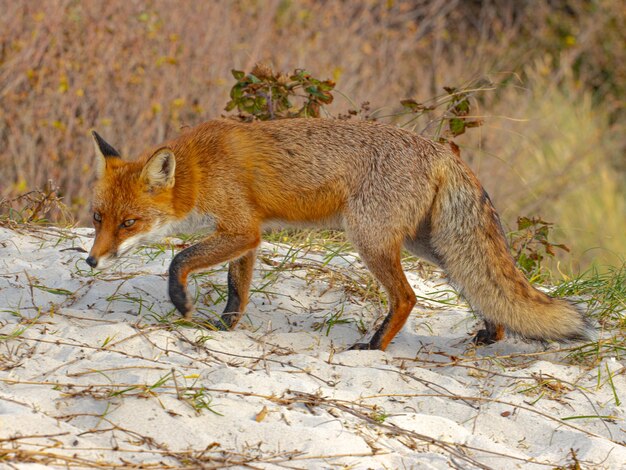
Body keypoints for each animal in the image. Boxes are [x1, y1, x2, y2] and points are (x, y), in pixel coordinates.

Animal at [85, 119, 592, 350]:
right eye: (97, 217)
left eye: (129, 223)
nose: (91, 261)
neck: (198, 171)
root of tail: (441, 151)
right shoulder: (247, 234)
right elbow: (237, 291)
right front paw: (224, 329)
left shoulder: (242, 230)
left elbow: (179, 260)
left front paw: (182, 303)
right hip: (431, 246)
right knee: (481, 284)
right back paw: (493, 332)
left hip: (368, 239)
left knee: (407, 297)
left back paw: (373, 348)